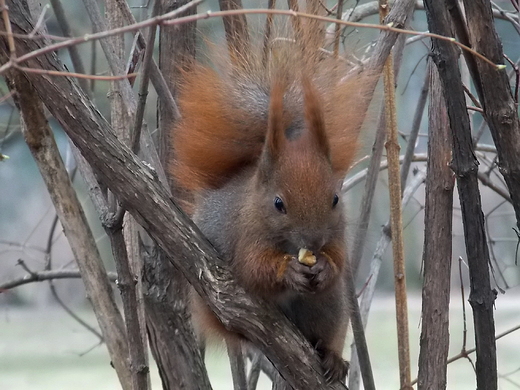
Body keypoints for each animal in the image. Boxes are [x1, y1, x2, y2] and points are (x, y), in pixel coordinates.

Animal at [173, 28, 376, 384]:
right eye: (278, 203)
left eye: (335, 198)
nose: (313, 242)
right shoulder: (246, 234)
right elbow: (253, 267)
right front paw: (287, 269)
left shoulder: (337, 231)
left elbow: (339, 256)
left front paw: (326, 264)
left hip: (329, 304)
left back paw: (333, 358)